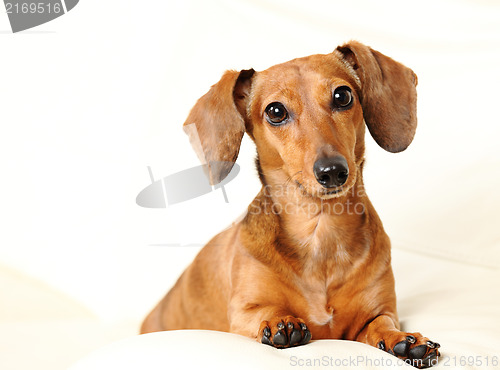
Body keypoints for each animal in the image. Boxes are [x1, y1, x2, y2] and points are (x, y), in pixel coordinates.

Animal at [141, 40, 442, 368]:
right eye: (275, 111)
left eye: (343, 95)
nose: (332, 171)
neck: (320, 231)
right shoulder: (242, 314)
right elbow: (267, 311)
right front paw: (281, 322)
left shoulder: (379, 312)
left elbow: (380, 323)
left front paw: (403, 340)